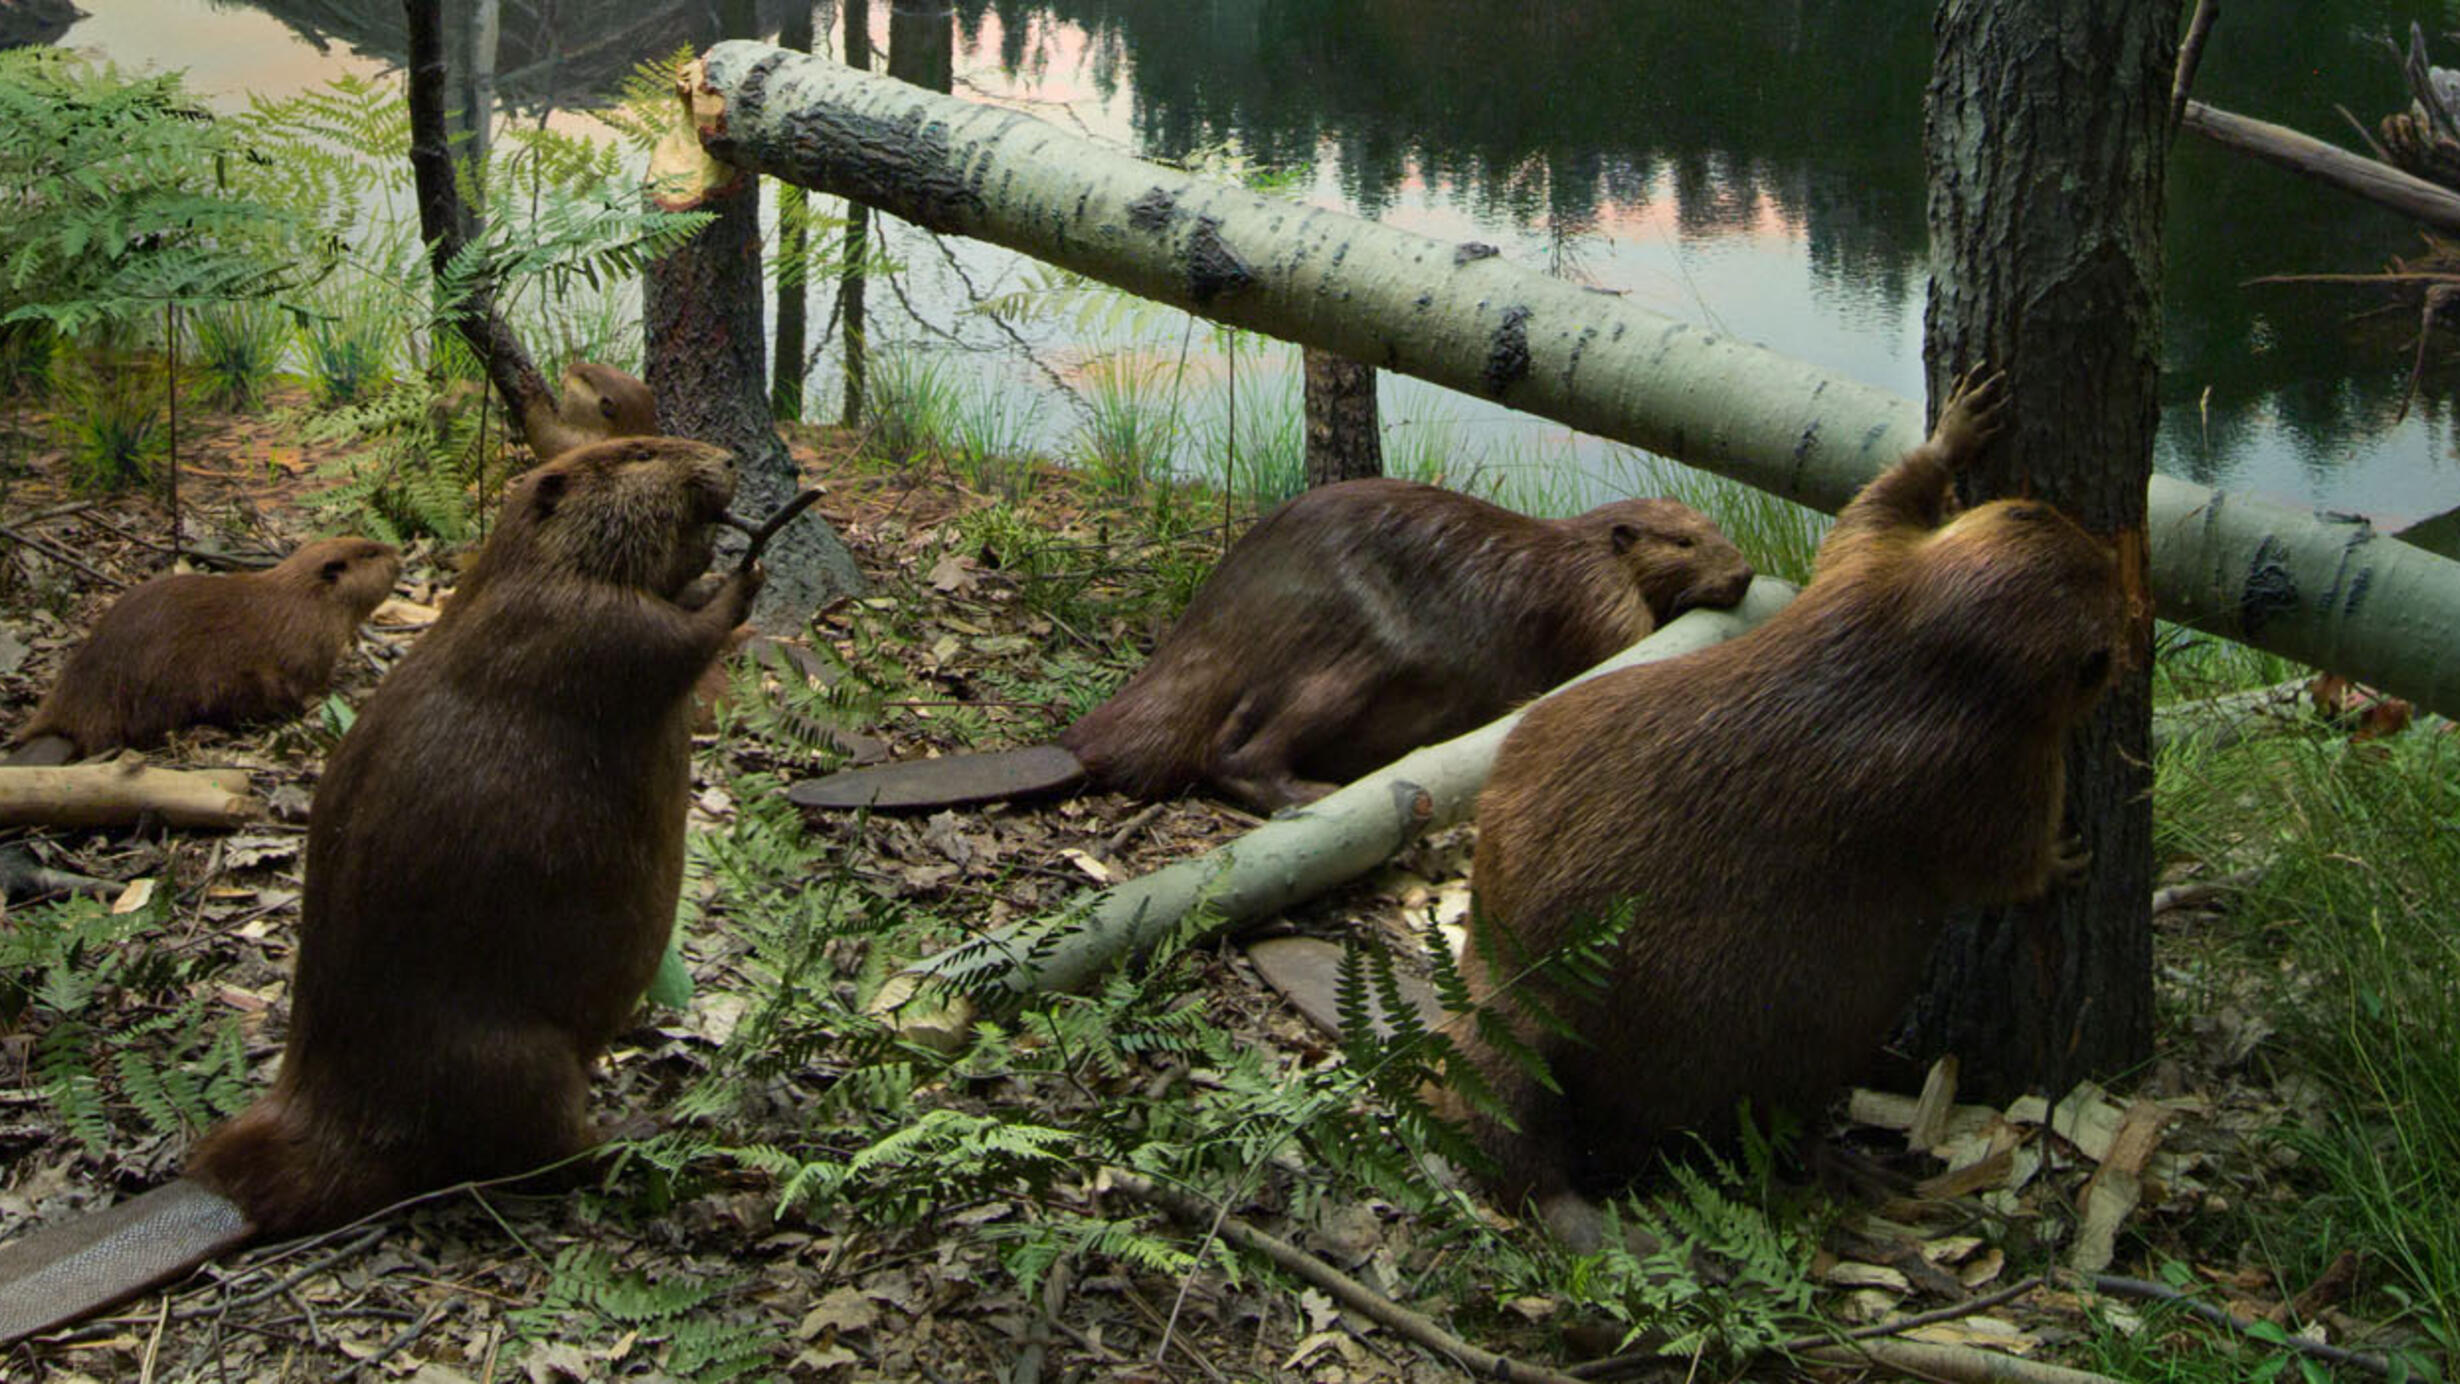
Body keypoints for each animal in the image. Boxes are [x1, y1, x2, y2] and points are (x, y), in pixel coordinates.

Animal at [787, 481, 1751, 816]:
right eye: (1686, 539)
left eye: (1715, 527)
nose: (1744, 574)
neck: (1574, 546)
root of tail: (1076, 747)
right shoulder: (1593, 601)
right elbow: (1621, 646)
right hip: (1352, 664)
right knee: (1232, 755)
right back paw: (1310, 793)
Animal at [1446, 371, 2125, 1243]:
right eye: (2108, 622)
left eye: (2037, 515)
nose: (2117, 559)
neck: (1924, 649)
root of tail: (1526, 985)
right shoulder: (1993, 766)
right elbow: (1999, 862)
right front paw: (2068, 860)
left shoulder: (1862, 579)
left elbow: (1862, 519)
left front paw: (1964, 420)